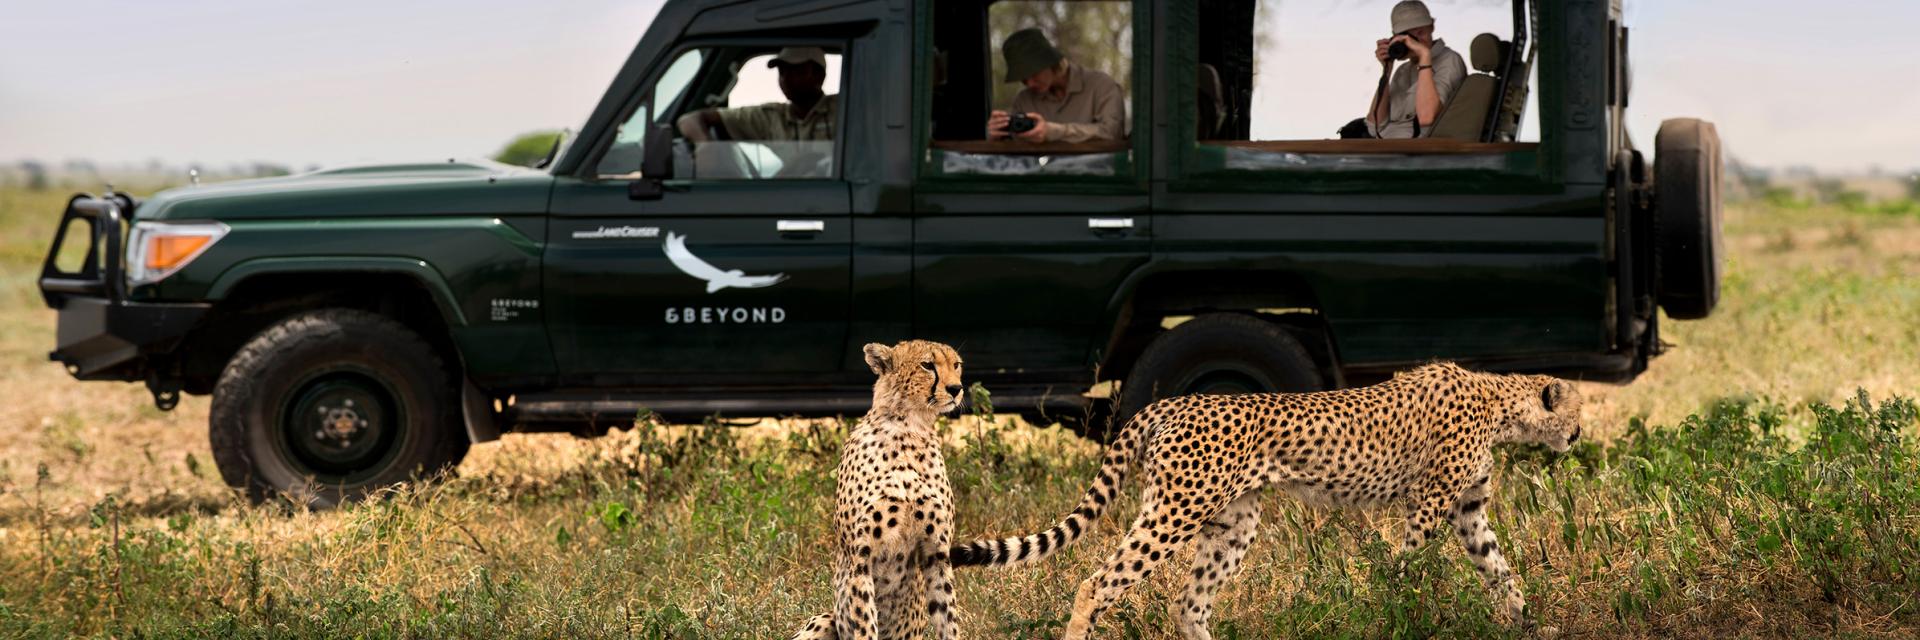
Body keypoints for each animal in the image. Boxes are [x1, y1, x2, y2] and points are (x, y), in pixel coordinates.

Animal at [787, 338, 967, 638]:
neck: (910, 429)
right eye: (927, 365)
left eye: (956, 365)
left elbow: (948, 619)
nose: (956, 388)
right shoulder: (860, 557)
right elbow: (863, 622)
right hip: (825, 618)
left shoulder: (937, 554)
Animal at [948, 361, 1589, 634]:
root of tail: (1169, 401)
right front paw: (1396, 609)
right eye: (1578, 408)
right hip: (1175, 510)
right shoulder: (1429, 504)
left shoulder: (1467, 512)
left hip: (1233, 525)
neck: (1500, 400)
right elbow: (1406, 569)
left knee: (1189, 605)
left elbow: (1502, 572)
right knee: (1097, 584)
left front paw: (1529, 624)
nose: (1581, 434)